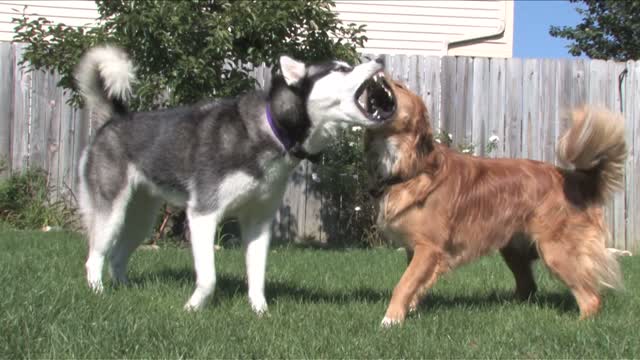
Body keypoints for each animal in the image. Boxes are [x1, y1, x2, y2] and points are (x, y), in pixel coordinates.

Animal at [74, 46, 396, 314]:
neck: (273, 129)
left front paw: (260, 311)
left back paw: (125, 289)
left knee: (117, 256)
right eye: (341, 68)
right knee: (95, 256)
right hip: (112, 213)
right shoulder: (202, 215)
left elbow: (257, 274)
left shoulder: (259, 220)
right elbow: (208, 278)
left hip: (142, 219)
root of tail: (114, 119)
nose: (380, 59)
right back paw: (98, 292)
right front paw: (192, 308)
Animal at [364, 79, 624, 326]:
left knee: (590, 299)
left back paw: (579, 324)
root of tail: (574, 179)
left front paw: (391, 319)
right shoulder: (416, 250)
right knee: (528, 286)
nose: (379, 71)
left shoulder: (429, 248)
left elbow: (404, 283)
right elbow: (414, 284)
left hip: (556, 251)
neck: (411, 166)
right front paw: (410, 310)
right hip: (513, 248)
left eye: (399, 86)